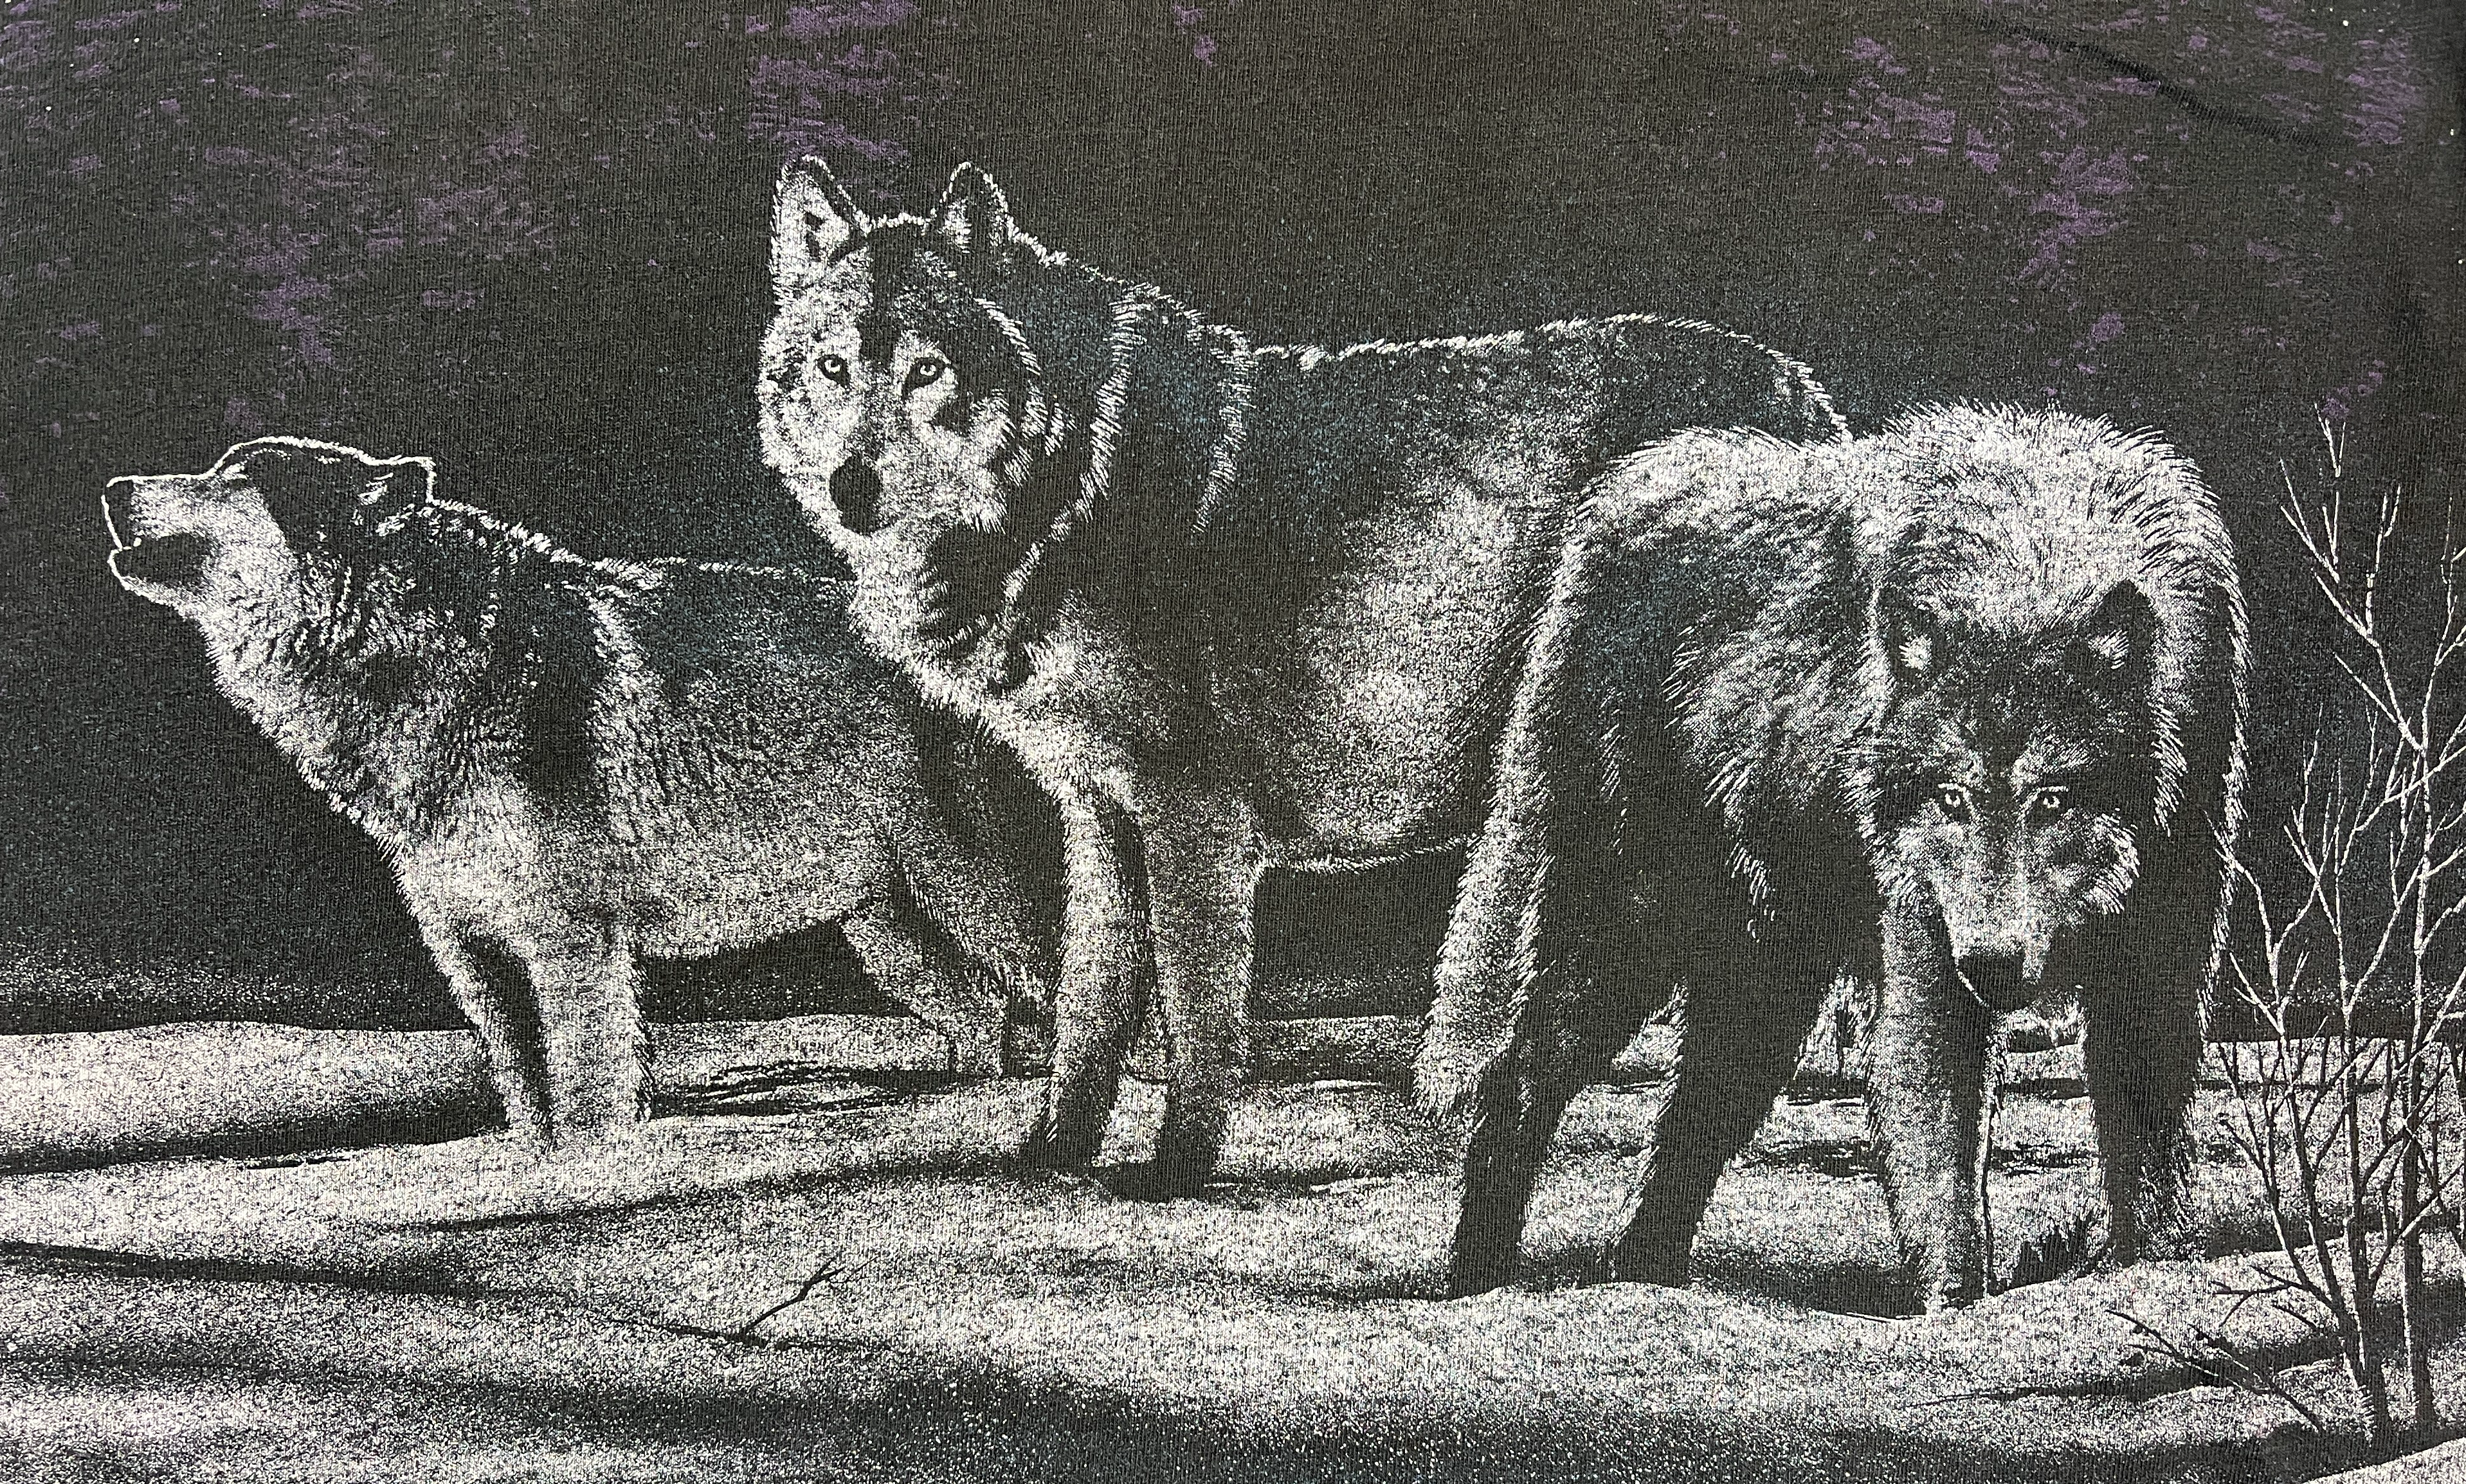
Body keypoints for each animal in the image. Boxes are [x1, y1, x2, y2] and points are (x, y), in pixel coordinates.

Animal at [104, 437, 1054, 1148]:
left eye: (242, 476)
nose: (113, 487)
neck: (425, 656)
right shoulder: (476, 950)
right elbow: (528, 1093)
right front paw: (540, 1176)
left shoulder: (573, 943)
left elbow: (588, 1086)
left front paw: (597, 1176)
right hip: (886, 931)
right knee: (982, 1017)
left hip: (974, 899)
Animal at [757, 157, 1848, 1193]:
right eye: (831, 366)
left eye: (925, 371)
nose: (852, 488)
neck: (1072, 485)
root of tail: (1802, 394)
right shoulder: (1098, 823)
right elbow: (1087, 1012)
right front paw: (1053, 1153)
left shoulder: (1193, 822)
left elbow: (1197, 1017)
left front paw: (1175, 1171)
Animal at [1416, 405, 2248, 1308]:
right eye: (1951, 798)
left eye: (2051, 798)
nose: (1990, 962)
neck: (2032, 560)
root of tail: (1626, 494)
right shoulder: (1927, 959)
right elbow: (1942, 1171)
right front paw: (1953, 1305)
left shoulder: (2158, 963)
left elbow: (2148, 1145)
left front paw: (2152, 1270)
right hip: (1629, 942)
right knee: (1516, 1080)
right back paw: (1477, 1284)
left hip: (1761, 995)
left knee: (1689, 1125)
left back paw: (1643, 1278)